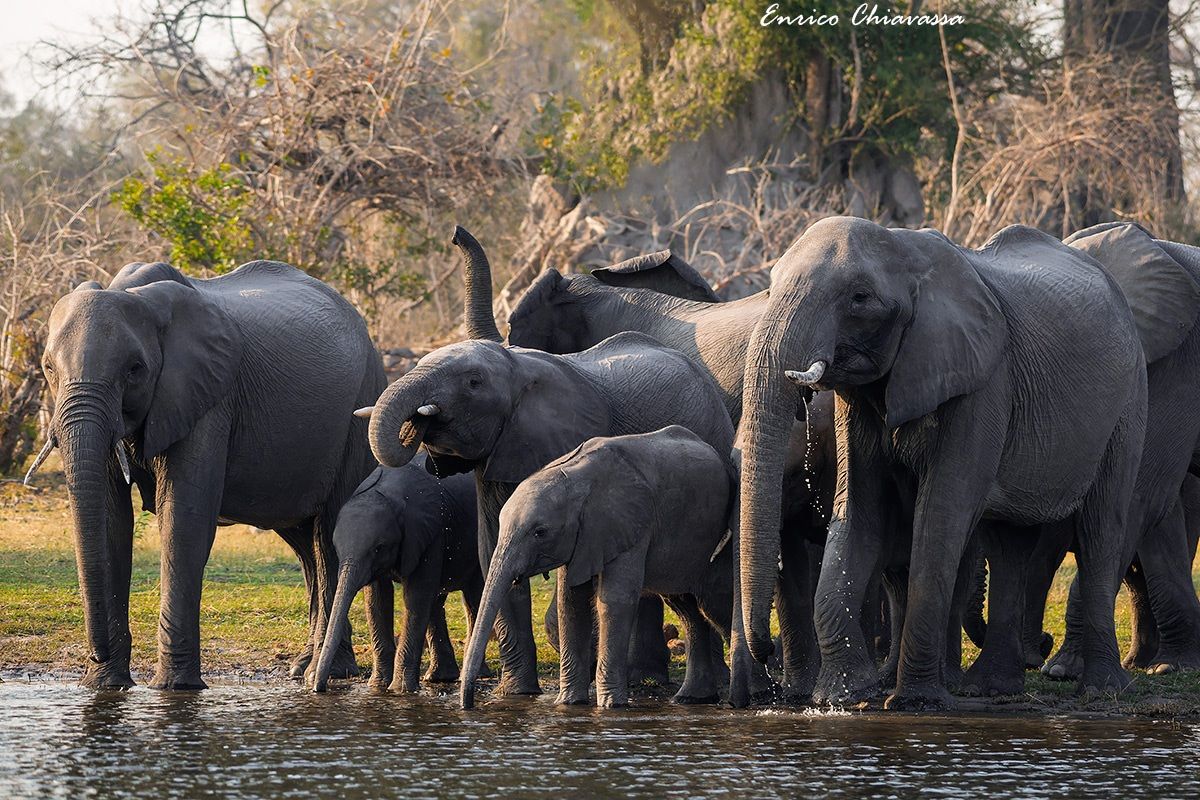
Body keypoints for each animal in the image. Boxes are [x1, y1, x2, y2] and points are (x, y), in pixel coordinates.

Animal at [32, 261, 381, 690]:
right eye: (48, 367)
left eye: (135, 369)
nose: (96, 655)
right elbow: (112, 521)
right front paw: (105, 686)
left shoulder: (209, 396)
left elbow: (183, 518)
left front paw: (175, 688)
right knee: (305, 543)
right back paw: (304, 667)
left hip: (359, 408)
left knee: (329, 530)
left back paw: (326, 673)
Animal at [312, 455, 484, 695]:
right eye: (336, 548)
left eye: (379, 547)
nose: (319, 689)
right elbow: (378, 600)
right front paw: (378, 686)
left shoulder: (430, 531)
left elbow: (416, 596)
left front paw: (400, 691)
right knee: (436, 601)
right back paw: (439, 677)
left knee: (472, 596)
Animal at [458, 429, 748, 710]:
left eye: (540, 532)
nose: (469, 704)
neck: (574, 479)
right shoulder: (581, 538)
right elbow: (571, 603)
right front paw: (569, 704)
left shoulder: (629, 523)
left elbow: (613, 601)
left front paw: (611, 706)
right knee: (686, 608)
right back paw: (691, 699)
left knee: (714, 604)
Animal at [739, 215, 1142, 710]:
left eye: (860, 298)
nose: (765, 650)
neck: (906, 250)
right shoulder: (860, 403)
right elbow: (859, 513)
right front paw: (845, 697)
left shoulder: (986, 383)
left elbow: (941, 515)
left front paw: (914, 701)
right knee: (1010, 544)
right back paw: (991, 688)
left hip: (1128, 403)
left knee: (1100, 530)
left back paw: (1102, 689)